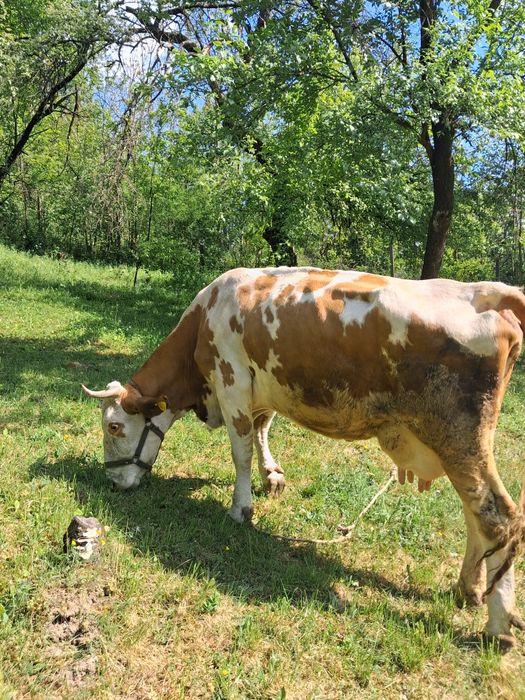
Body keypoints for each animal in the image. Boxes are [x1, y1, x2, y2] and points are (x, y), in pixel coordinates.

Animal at [83, 266, 525, 650]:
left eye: (114, 427)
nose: (113, 482)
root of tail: (489, 292)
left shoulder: (232, 383)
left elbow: (241, 450)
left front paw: (241, 508)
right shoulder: (263, 389)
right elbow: (262, 430)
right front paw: (271, 477)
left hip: (459, 437)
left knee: (497, 516)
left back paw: (498, 625)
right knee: (475, 514)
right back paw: (469, 587)